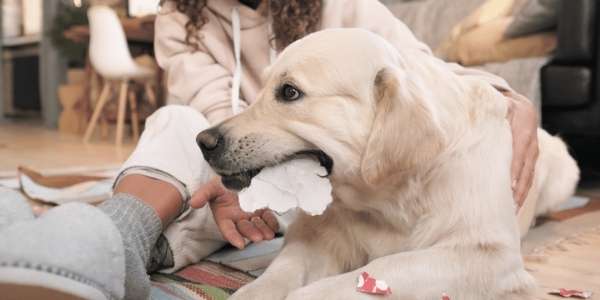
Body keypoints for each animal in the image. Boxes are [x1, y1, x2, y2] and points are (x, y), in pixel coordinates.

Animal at [195, 28, 580, 300]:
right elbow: (280, 272)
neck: (387, 196)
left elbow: (380, 268)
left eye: (289, 92)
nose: (204, 141)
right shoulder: (317, 234)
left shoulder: (488, 255)